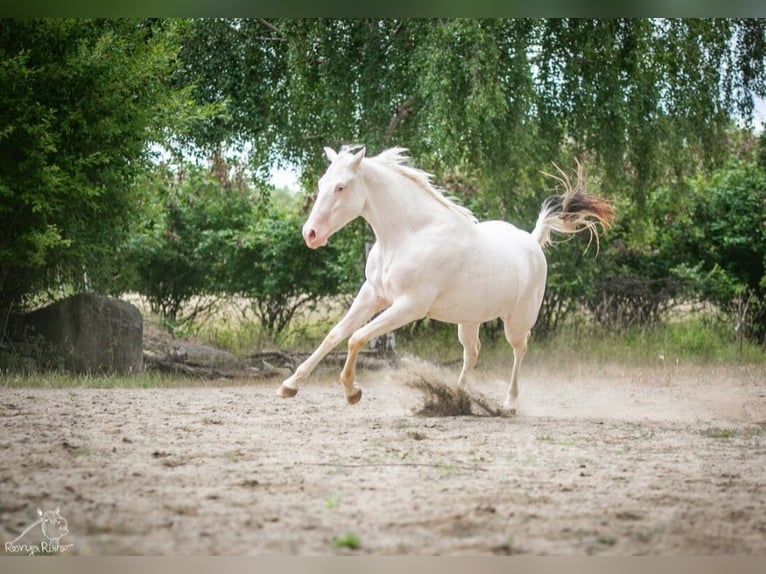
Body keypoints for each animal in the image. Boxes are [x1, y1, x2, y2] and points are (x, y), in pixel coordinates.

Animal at [276, 146, 614, 413]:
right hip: (469, 320)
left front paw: (352, 391)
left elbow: (356, 337)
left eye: (341, 187)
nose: (310, 234)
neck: (409, 235)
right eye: (321, 183)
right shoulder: (372, 295)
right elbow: (334, 335)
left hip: (517, 321)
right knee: (472, 353)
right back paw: (458, 397)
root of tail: (532, 241)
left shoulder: (409, 306)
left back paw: (508, 403)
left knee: (519, 350)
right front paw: (289, 385)